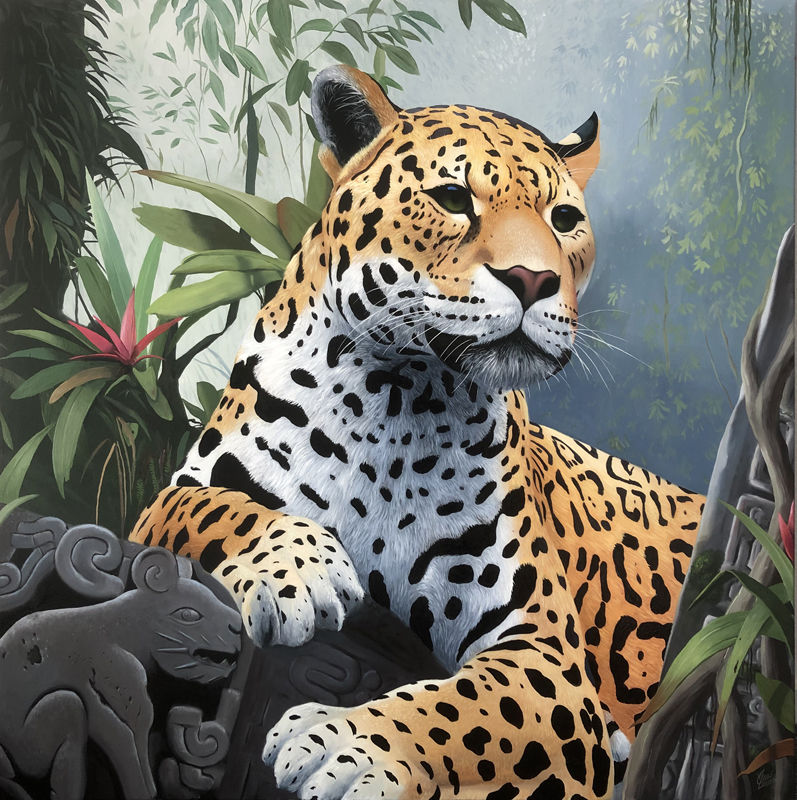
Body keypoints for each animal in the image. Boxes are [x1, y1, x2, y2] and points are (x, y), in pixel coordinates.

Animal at [130, 65, 703, 800]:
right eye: (453, 198)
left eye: (564, 220)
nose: (534, 278)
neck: (397, 398)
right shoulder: (181, 487)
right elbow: (220, 511)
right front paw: (299, 571)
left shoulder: (545, 652)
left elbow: (468, 711)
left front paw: (348, 746)